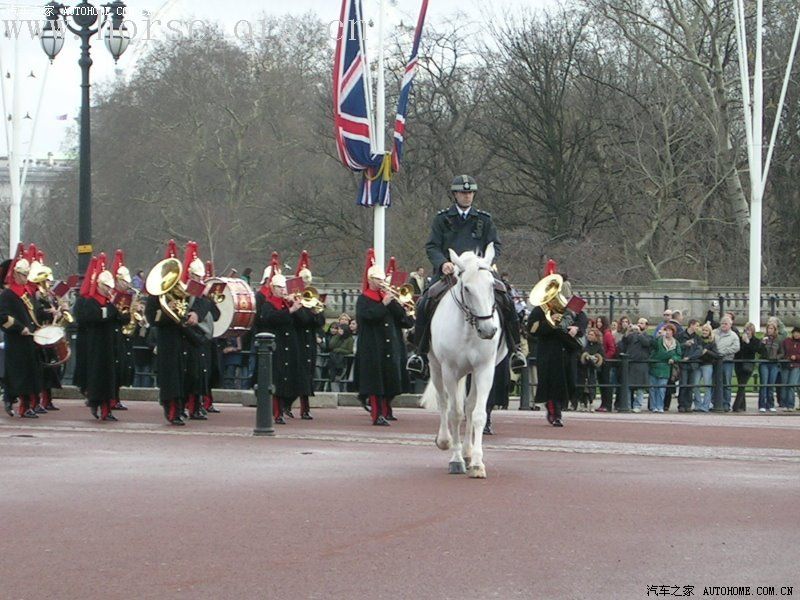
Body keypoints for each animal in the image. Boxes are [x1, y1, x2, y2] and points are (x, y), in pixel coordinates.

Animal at [422, 241, 504, 480]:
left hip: (471, 373)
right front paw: (456, 459)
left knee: (469, 406)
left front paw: (476, 462)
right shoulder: (449, 370)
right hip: (436, 367)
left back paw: (468, 452)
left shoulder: (484, 369)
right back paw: (445, 440)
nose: (488, 330)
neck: (469, 327)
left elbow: (477, 414)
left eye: (491, 286)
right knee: (443, 402)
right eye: (467, 288)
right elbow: (455, 414)